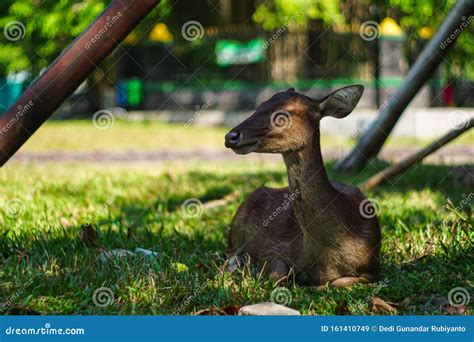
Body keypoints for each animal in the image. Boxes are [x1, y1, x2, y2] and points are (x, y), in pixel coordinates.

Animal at [225, 85, 382, 286]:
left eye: (283, 113)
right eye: (259, 106)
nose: (231, 136)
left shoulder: (373, 266)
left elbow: (340, 281)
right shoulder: (274, 248)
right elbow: (278, 274)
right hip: (236, 227)